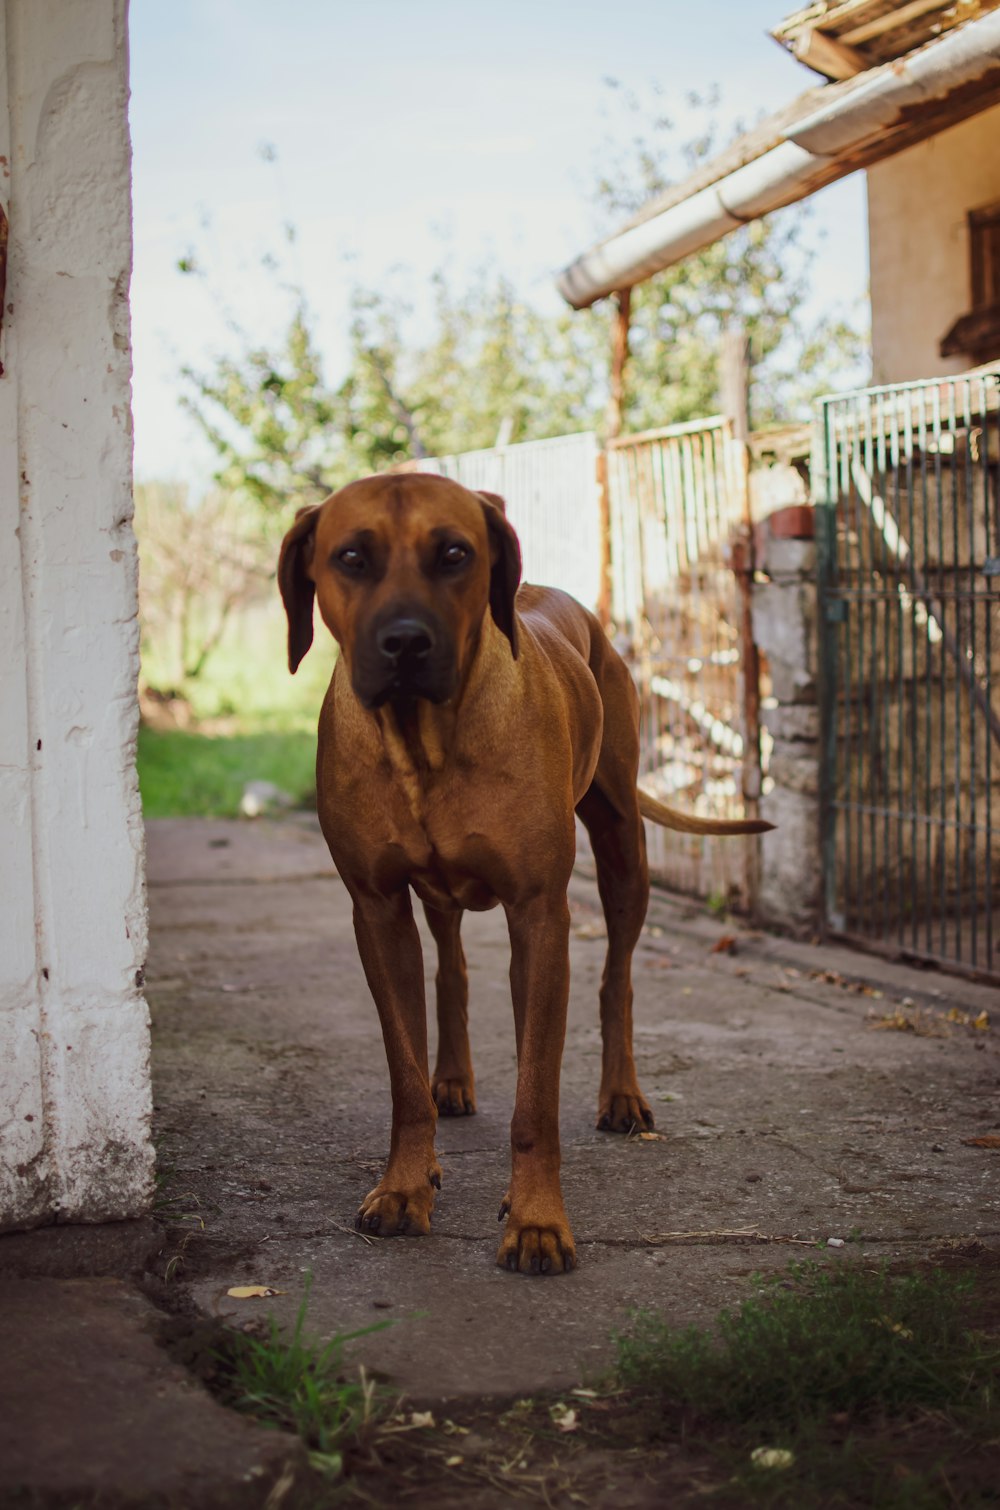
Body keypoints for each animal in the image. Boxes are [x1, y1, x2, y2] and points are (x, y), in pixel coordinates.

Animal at [282, 471, 773, 1274]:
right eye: (351, 556)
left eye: (454, 553)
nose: (406, 642)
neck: (425, 739)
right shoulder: (376, 910)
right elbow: (405, 1076)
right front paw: (405, 1186)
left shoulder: (540, 913)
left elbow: (537, 1097)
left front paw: (537, 1221)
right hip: (442, 899)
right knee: (452, 970)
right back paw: (453, 1079)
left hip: (622, 847)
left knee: (613, 981)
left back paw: (620, 1096)